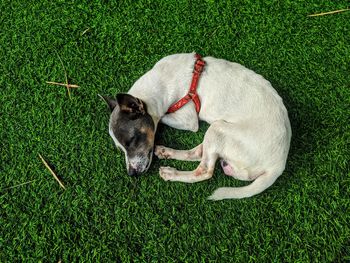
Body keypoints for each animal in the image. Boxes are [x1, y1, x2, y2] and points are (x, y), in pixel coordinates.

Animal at [100, 52, 292, 200]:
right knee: (198, 153)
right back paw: (166, 152)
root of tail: (277, 166)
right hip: (217, 133)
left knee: (204, 170)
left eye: (132, 141)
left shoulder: (188, 119)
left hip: (218, 128)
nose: (131, 174)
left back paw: (172, 174)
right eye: (120, 148)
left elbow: (161, 117)